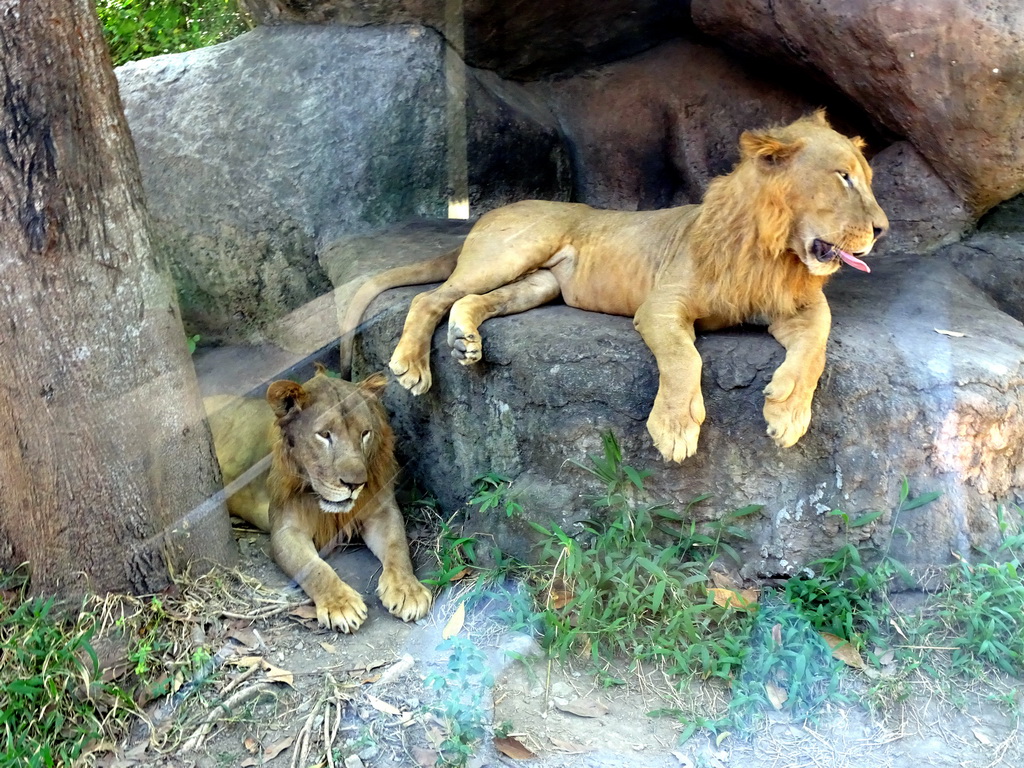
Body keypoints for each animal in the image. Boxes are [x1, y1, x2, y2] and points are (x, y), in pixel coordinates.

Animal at [207, 370, 432, 634]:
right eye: (325, 435)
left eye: (364, 433)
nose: (355, 484)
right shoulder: (286, 530)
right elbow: (314, 569)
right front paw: (341, 605)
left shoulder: (382, 511)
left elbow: (398, 547)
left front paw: (408, 590)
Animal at [337, 112, 888, 462]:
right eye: (844, 177)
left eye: (867, 178)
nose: (883, 229)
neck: (775, 252)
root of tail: (487, 215)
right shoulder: (663, 304)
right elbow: (684, 358)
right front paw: (675, 428)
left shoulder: (801, 308)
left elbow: (815, 348)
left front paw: (787, 413)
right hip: (514, 250)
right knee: (431, 296)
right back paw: (412, 365)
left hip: (538, 284)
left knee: (470, 300)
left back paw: (464, 342)